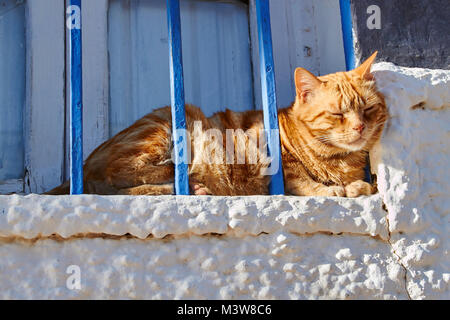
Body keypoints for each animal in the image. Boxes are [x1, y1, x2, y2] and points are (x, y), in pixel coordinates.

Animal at [48, 52, 386, 198]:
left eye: (368, 109)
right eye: (338, 114)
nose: (359, 128)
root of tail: (84, 163)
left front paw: (356, 186)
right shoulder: (269, 155)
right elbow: (298, 178)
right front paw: (330, 189)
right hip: (168, 124)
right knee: (119, 173)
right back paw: (186, 180)